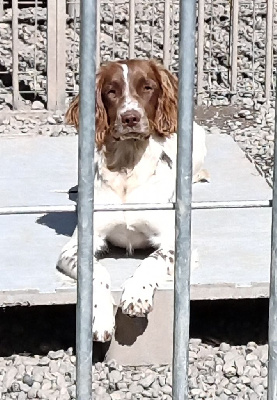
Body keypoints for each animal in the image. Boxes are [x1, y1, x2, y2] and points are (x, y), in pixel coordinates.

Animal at [56, 58, 207, 340]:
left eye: (147, 87)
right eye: (111, 91)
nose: (130, 118)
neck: (128, 167)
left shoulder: (177, 242)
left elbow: (152, 260)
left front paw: (136, 296)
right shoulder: (77, 244)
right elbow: (96, 272)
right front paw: (100, 316)